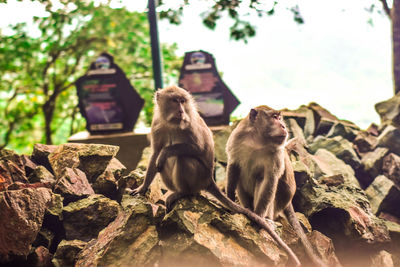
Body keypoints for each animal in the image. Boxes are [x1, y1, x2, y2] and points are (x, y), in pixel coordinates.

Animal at [131, 87, 300, 266]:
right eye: (175, 101)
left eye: (183, 101)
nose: (181, 111)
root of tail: (208, 181)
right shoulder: (157, 125)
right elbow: (156, 153)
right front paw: (142, 188)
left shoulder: (190, 123)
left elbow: (197, 148)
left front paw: (166, 152)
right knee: (163, 163)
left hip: (198, 176)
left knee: (182, 158)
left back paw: (184, 192)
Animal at [227, 106, 326, 267]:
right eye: (274, 117)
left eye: (280, 118)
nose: (284, 126)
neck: (257, 141)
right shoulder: (236, 139)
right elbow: (234, 166)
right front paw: (229, 200)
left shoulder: (276, 153)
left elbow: (270, 179)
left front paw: (258, 217)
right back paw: (247, 208)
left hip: (278, 204)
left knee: (262, 180)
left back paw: (263, 216)